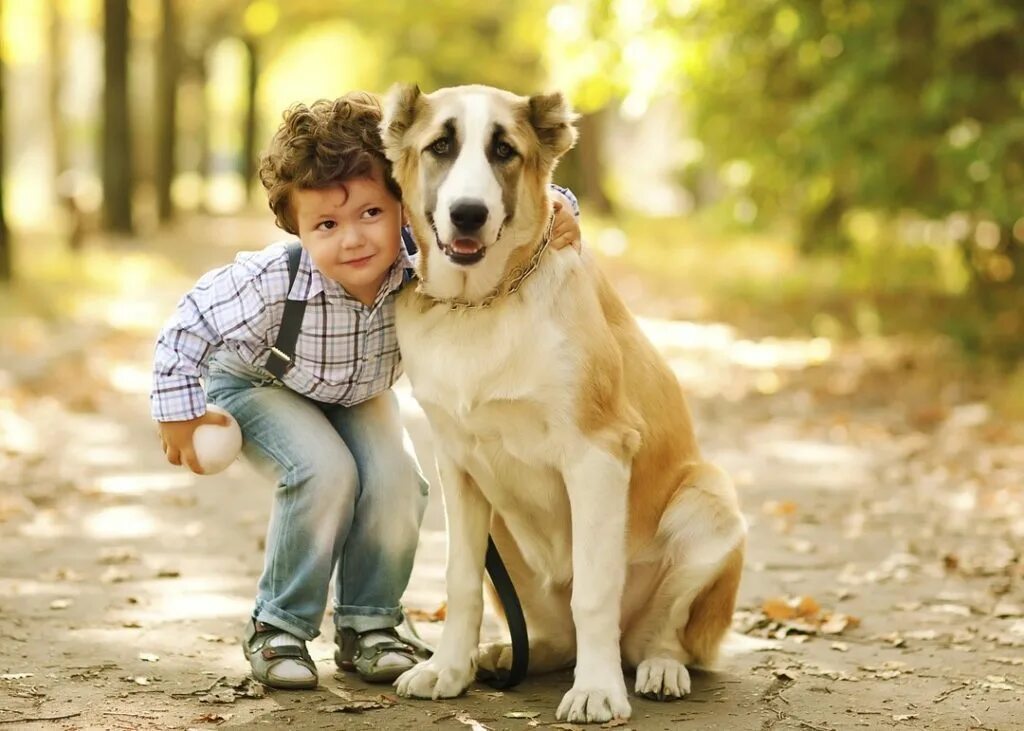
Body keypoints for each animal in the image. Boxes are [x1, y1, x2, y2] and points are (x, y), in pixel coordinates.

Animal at [380, 82, 749, 720]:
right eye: (441, 147)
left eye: (504, 150)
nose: (469, 213)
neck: (482, 307)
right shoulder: (458, 465)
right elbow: (457, 580)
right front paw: (447, 669)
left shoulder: (598, 455)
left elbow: (596, 591)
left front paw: (597, 689)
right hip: (504, 535)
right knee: (553, 636)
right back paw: (503, 655)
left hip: (711, 505)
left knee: (662, 632)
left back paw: (657, 668)